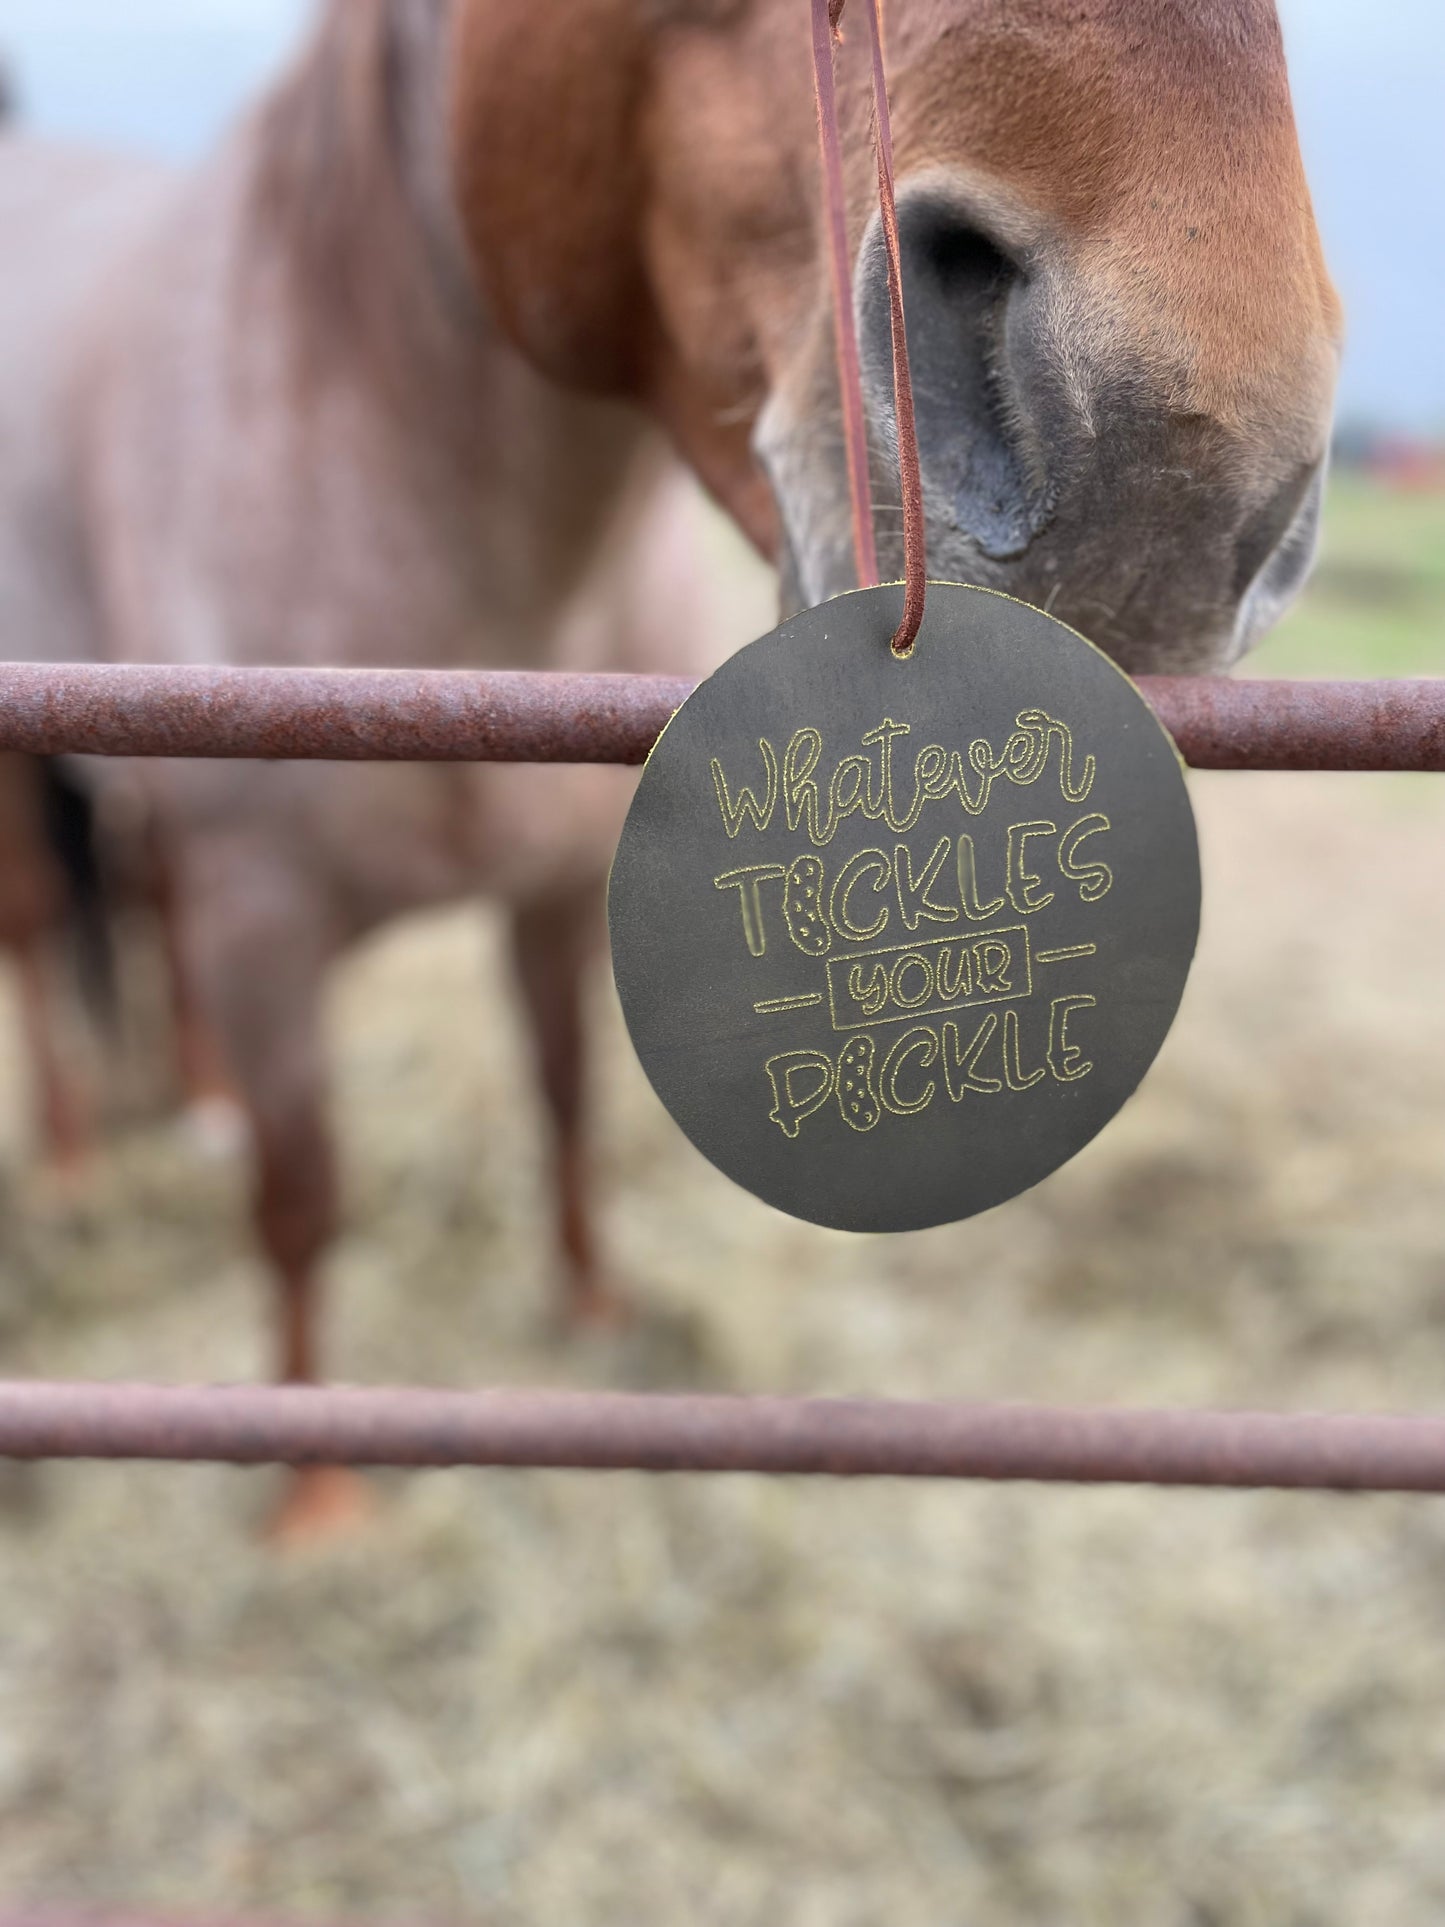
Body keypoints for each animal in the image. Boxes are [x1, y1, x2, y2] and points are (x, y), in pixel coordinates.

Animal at [0, 0, 1340, 1533]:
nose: (1172, 473)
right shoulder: (262, 916)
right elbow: (301, 1197)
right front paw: (317, 1492)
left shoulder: (558, 883)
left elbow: (567, 1094)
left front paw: (591, 1311)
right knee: (45, 931)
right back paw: (73, 1158)